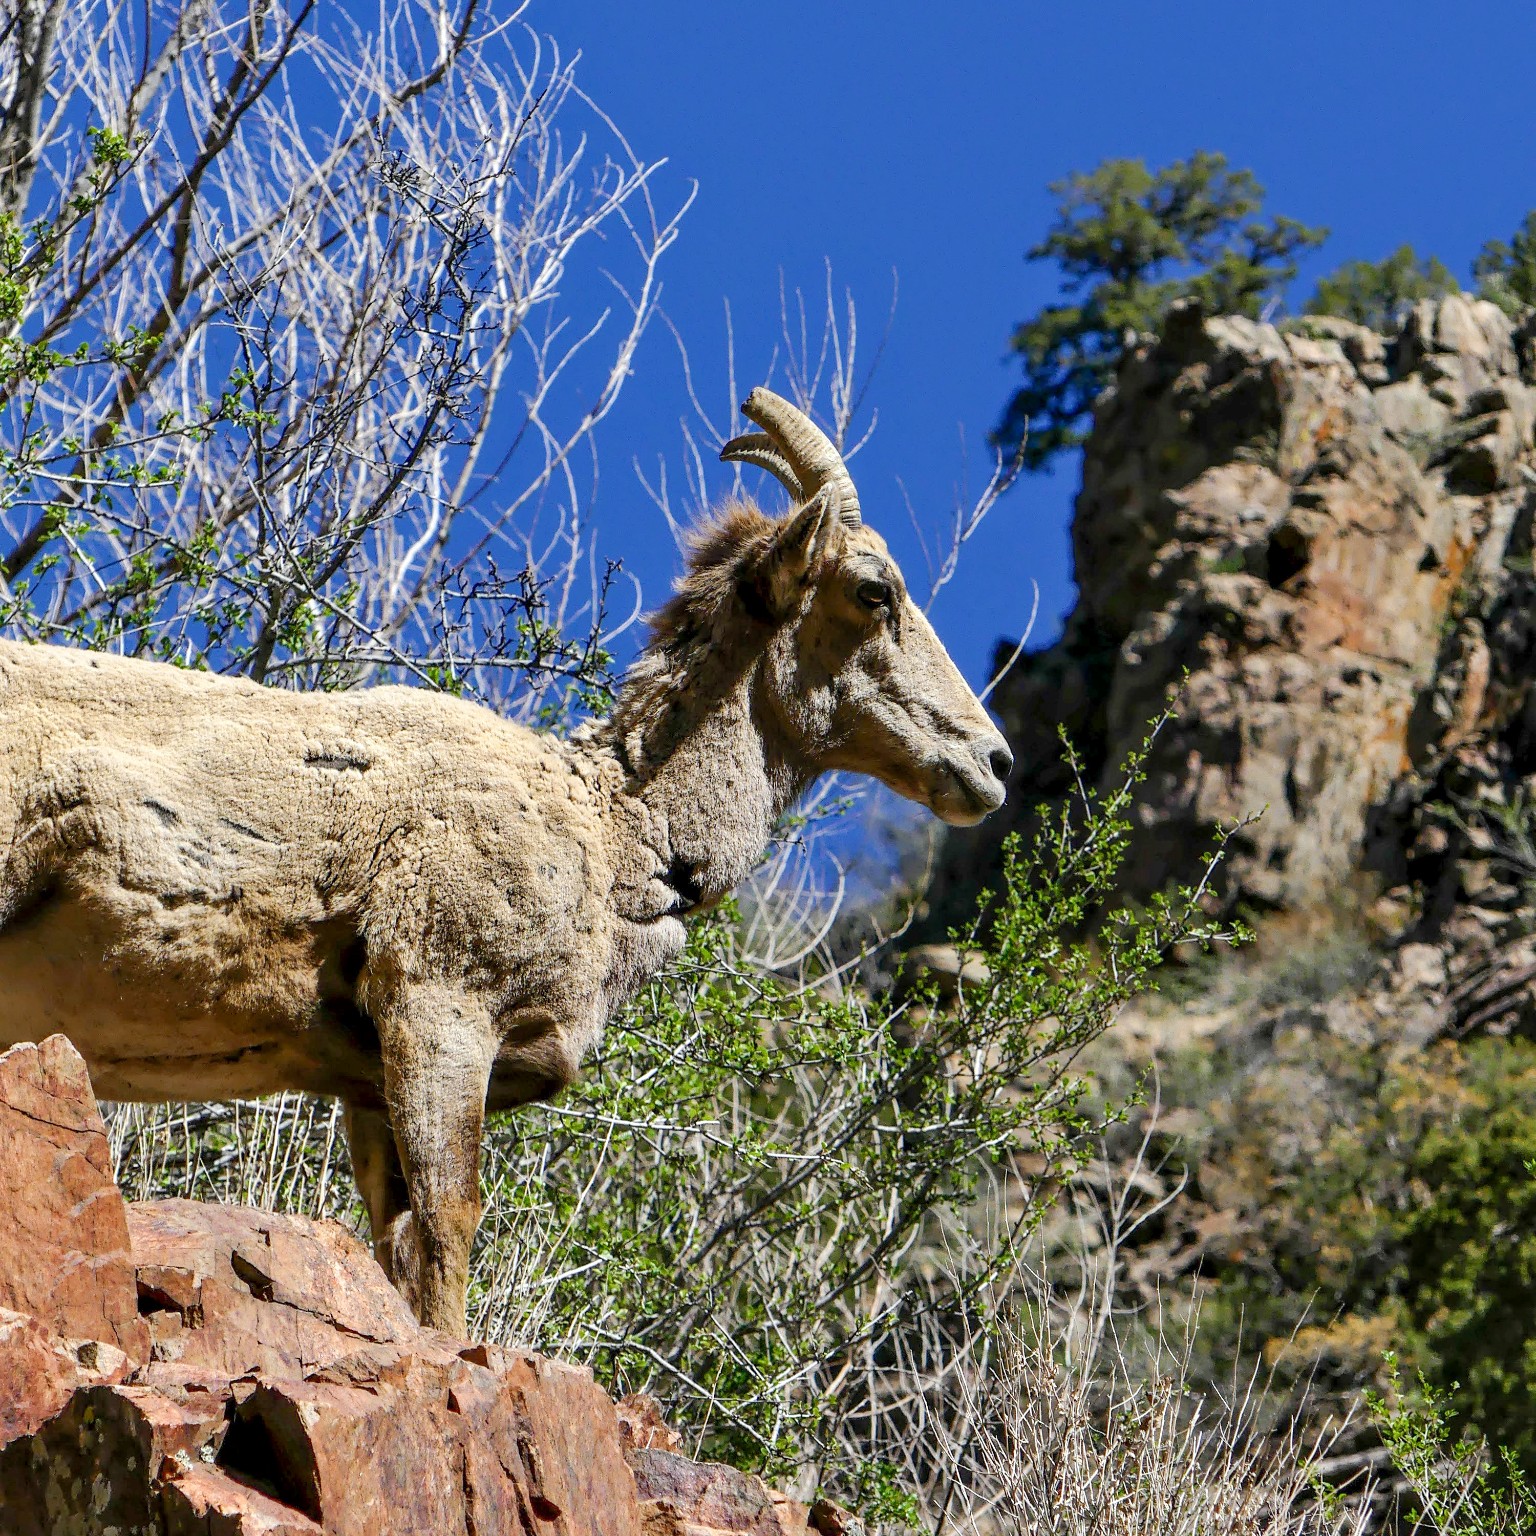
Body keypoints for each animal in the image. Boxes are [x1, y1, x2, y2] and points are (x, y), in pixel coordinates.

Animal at [0, 388, 1013, 1334]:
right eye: (874, 591)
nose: (992, 764)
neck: (611, 830)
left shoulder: (365, 1080)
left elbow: (397, 1245)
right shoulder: (439, 1006)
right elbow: (449, 1228)